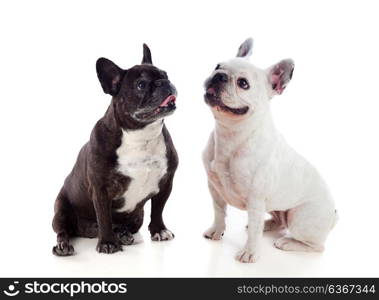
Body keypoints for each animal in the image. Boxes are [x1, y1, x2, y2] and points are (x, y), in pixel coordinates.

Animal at [51, 44, 179, 255]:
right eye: (141, 85)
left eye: (165, 74)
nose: (164, 82)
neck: (140, 135)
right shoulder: (100, 189)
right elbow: (104, 216)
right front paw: (108, 243)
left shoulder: (166, 182)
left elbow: (158, 209)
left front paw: (159, 230)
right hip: (60, 210)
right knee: (64, 231)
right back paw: (65, 246)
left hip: (137, 217)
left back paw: (123, 234)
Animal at [203, 37, 336, 262]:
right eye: (217, 66)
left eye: (243, 84)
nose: (219, 75)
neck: (231, 135)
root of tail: (335, 213)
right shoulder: (214, 188)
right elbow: (219, 212)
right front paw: (217, 230)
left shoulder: (256, 200)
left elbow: (254, 228)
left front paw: (249, 252)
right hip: (277, 208)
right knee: (279, 221)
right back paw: (269, 225)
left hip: (300, 219)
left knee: (317, 246)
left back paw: (288, 242)